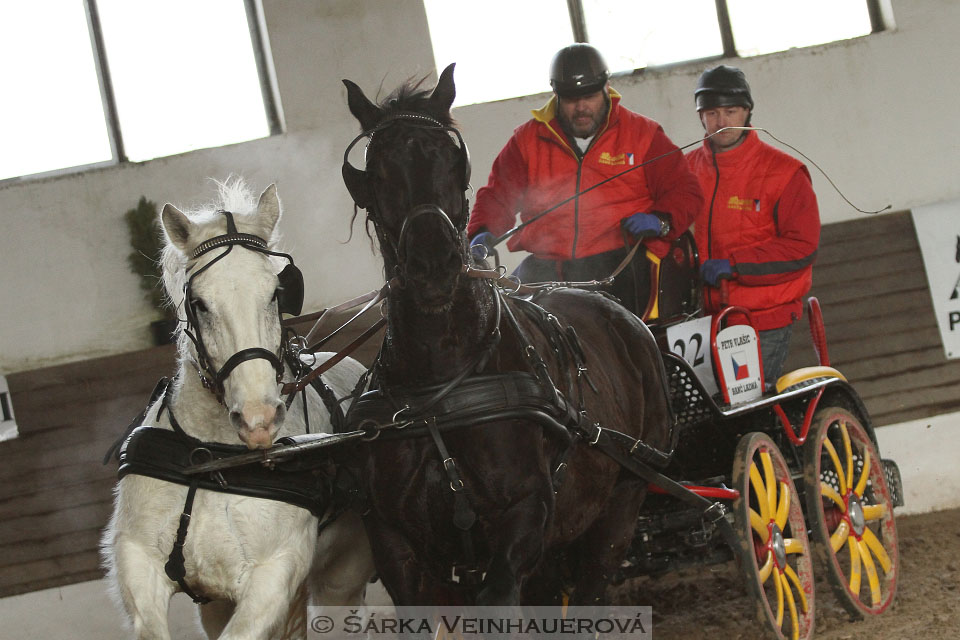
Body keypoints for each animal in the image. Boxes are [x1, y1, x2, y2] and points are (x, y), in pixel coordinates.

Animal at [101, 180, 376, 640]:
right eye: (199, 303)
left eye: (275, 294)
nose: (257, 419)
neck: (212, 459)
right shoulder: (139, 562)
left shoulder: (272, 578)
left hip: (341, 579)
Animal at [342, 63, 672, 604]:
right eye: (378, 170)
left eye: (452, 160)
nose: (434, 265)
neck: (439, 386)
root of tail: (628, 320)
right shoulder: (396, 546)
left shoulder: (525, 516)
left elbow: (499, 595)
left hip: (622, 504)